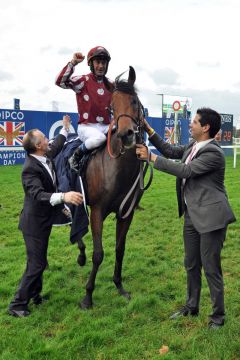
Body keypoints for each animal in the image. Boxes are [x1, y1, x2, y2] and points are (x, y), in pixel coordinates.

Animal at [79, 66, 146, 308]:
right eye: (112, 106)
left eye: (134, 101)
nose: (125, 134)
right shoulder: (97, 211)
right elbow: (98, 254)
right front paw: (88, 295)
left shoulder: (126, 213)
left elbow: (119, 249)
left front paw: (119, 285)